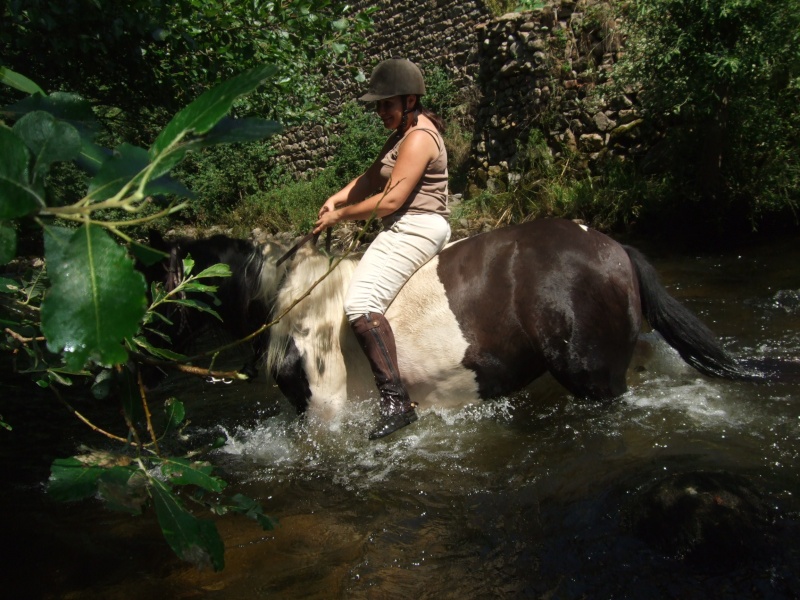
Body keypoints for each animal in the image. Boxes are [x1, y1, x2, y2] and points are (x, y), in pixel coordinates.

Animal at [150, 218, 788, 420]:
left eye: (154, 280)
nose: (143, 357)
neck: (296, 304)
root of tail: (610, 246)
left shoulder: (327, 416)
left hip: (594, 377)